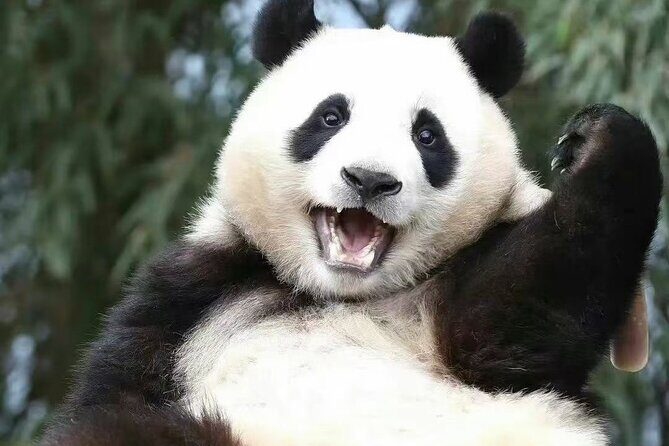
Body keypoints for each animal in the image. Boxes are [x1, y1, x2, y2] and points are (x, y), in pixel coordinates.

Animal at [43, 1, 661, 445]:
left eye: (427, 134)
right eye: (331, 116)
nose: (369, 180)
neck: (342, 293)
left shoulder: (463, 304)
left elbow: (520, 314)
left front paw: (595, 139)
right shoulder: (197, 292)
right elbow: (116, 390)